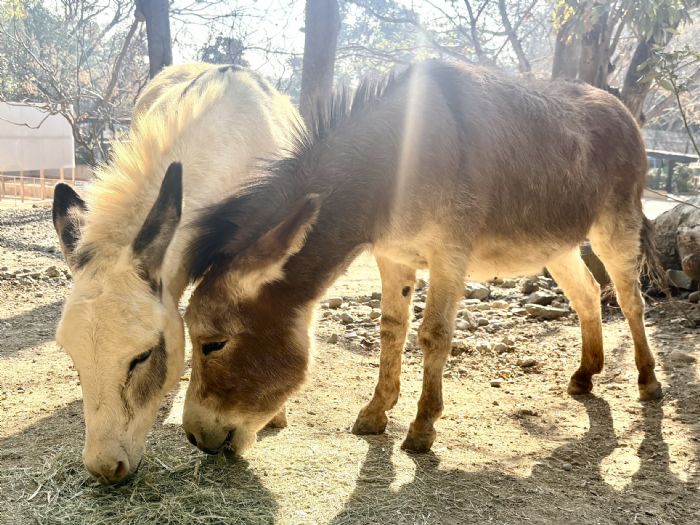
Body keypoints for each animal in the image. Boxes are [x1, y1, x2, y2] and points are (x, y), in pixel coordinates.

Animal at [181, 60, 662, 456]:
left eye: (213, 344)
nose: (194, 437)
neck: (394, 162)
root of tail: (623, 110)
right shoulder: (393, 256)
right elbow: (391, 329)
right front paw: (376, 411)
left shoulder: (449, 254)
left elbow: (433, 334)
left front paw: (422, 427)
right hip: (557, 247)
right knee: (588, 294)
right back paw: (585, 375)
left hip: (614, 227)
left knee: (630, 300)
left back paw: (648, 381)